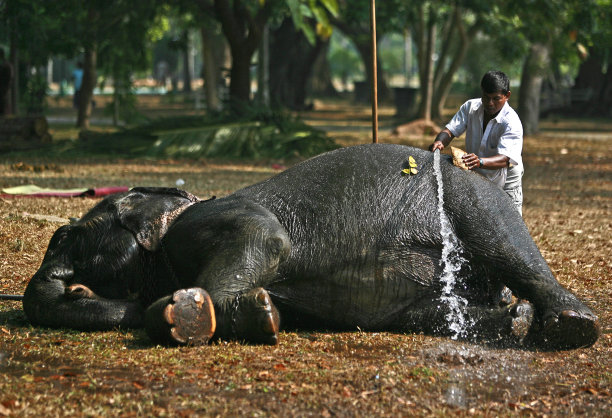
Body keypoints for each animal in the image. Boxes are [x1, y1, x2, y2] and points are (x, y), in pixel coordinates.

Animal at [22, 144, 596, 350]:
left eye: (70, 234)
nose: (72, 287)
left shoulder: (208, 220)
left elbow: (266, 238)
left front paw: (187, 313)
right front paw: (259, 315)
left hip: (469, 195)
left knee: (499, 235)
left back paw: (570, 324)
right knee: (425, 315)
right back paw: (517, 321)